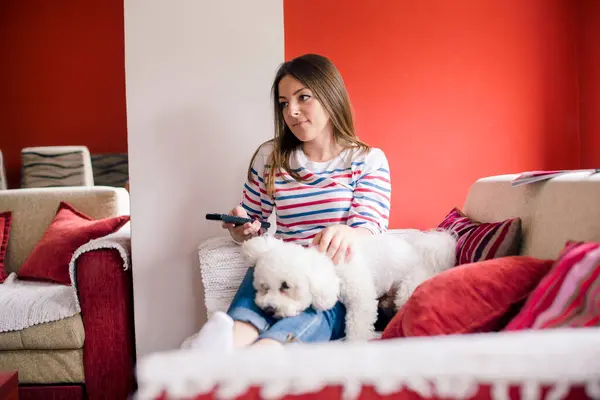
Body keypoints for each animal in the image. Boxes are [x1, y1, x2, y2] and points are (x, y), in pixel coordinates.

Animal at [239, 228, 454, 340]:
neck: (333, 267)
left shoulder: (362, 300)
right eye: (264, 287)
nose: (268, 309)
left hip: (409, 285)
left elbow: (358, 326)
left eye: (286, 287)